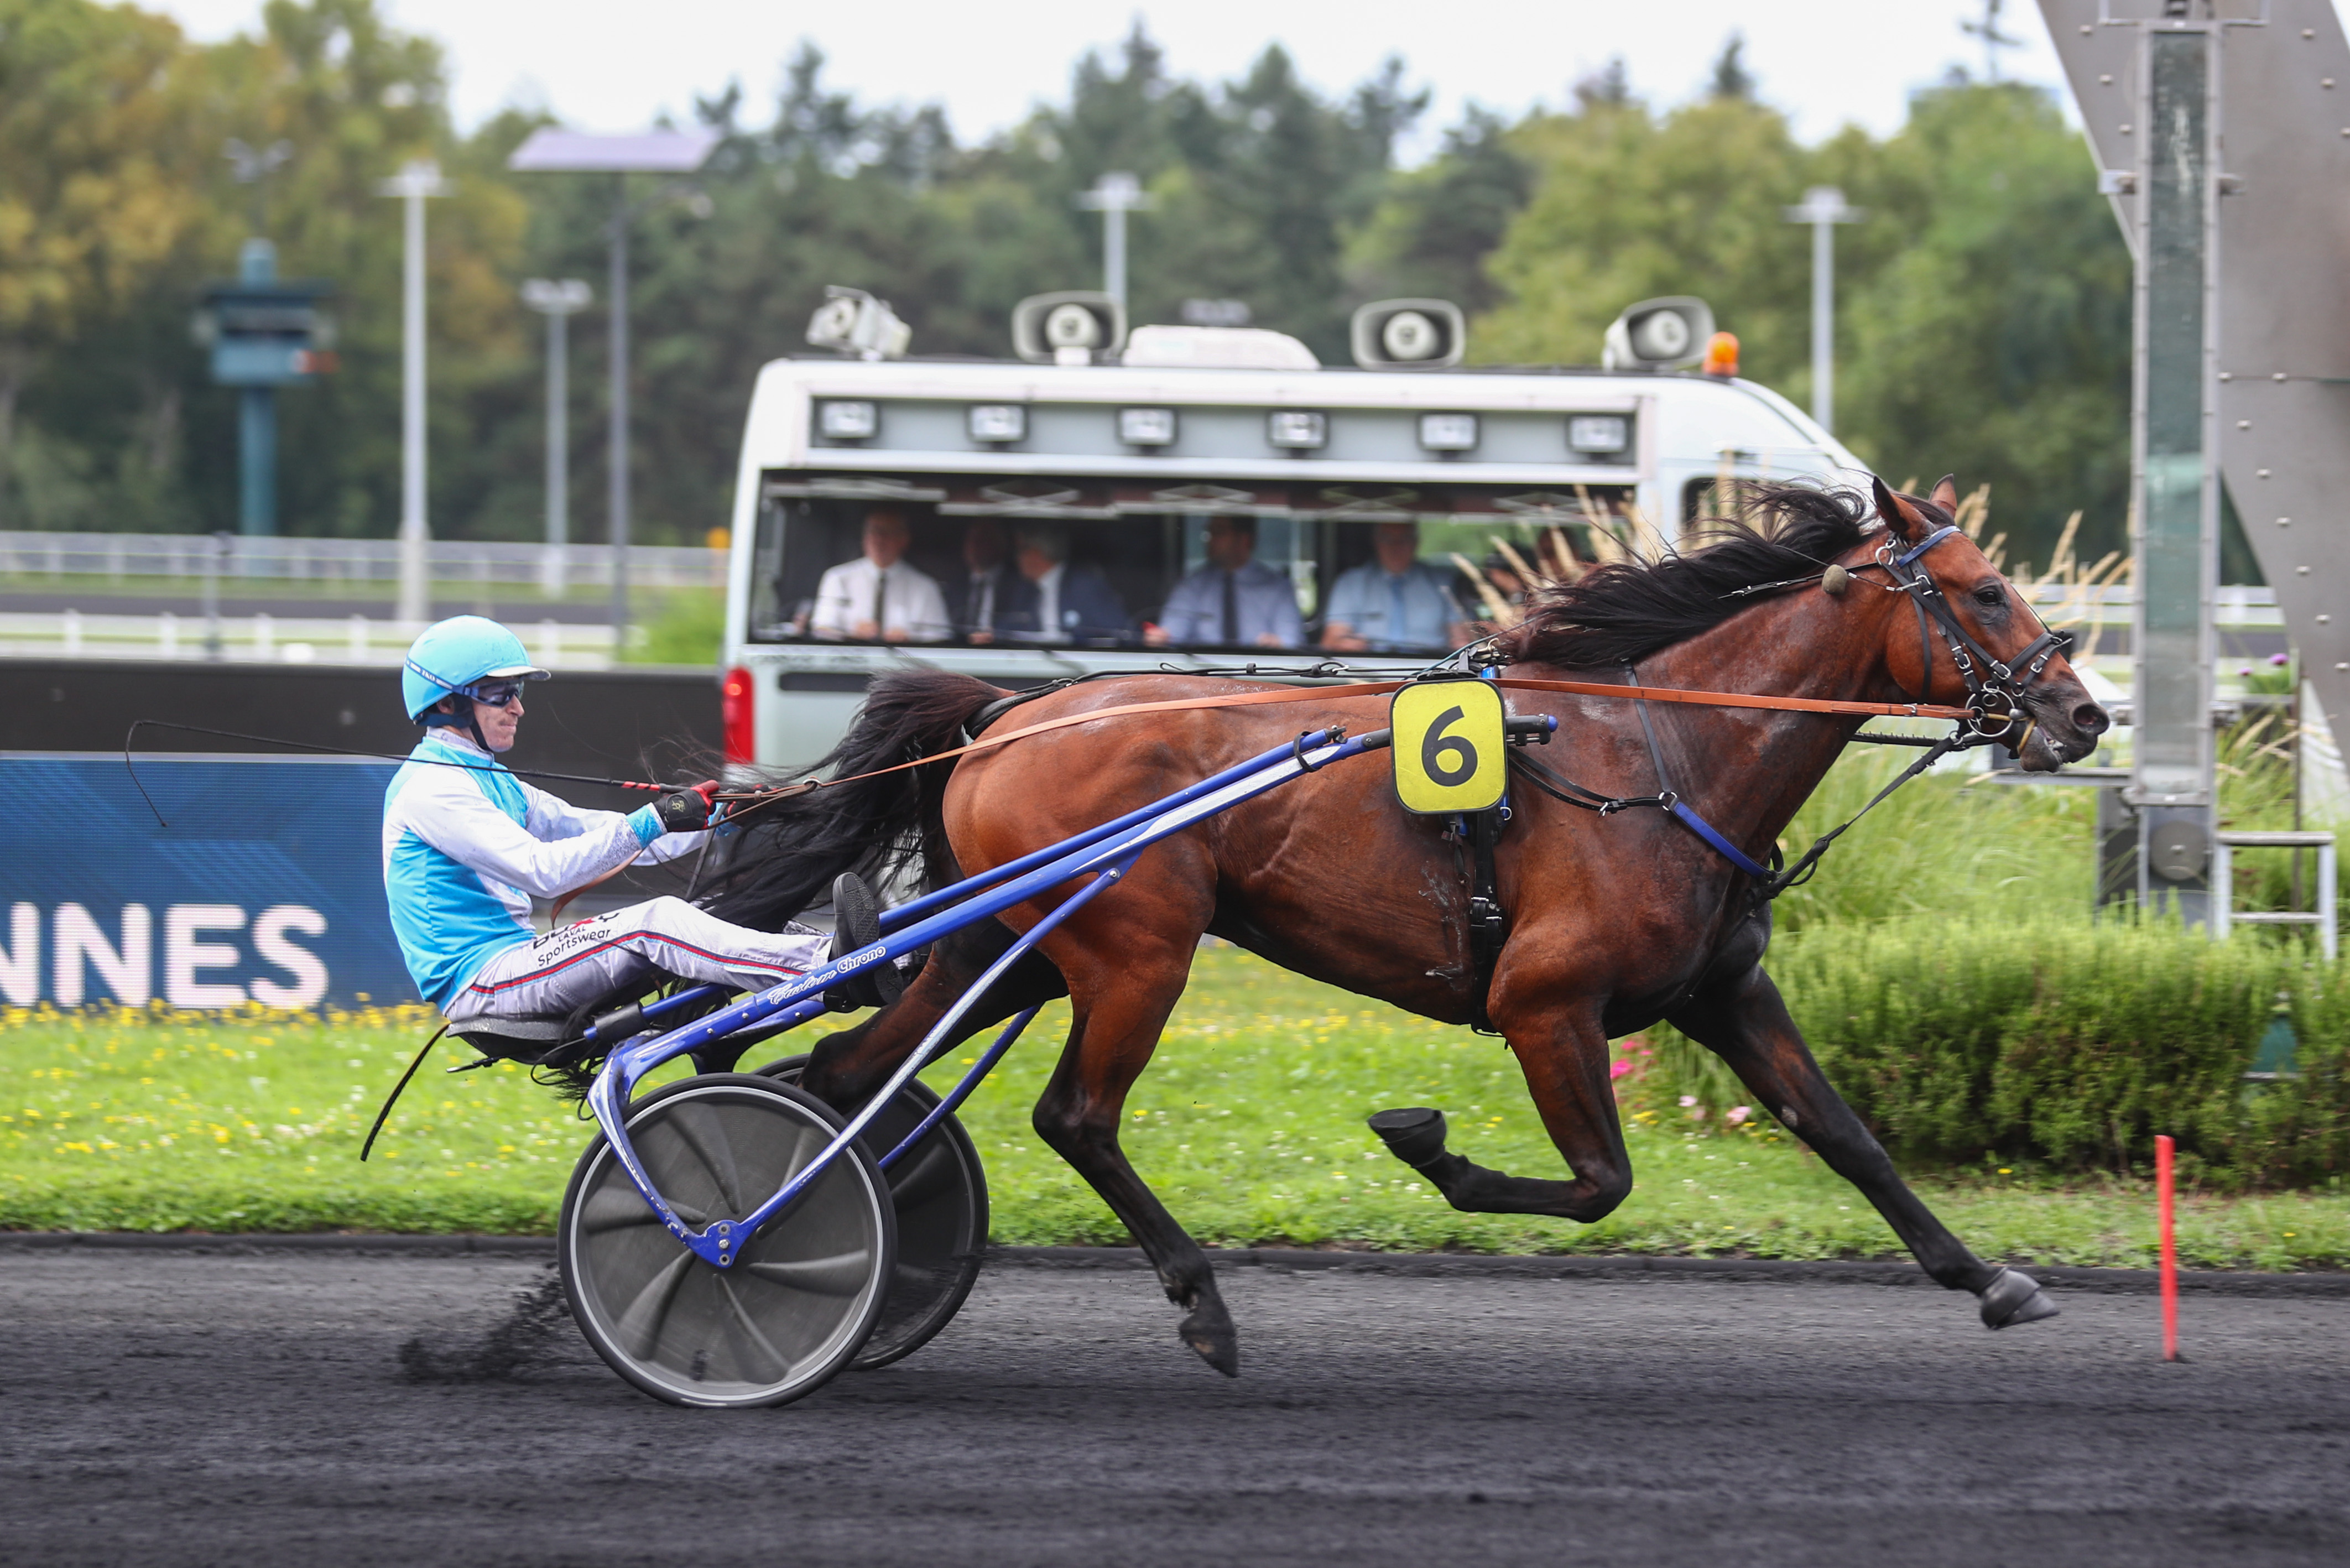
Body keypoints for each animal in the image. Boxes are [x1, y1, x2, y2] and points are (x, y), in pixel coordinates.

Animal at [710, 480, 2115, 1373]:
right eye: (1985, 590)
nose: (2085, 715)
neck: (1664, 754)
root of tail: (1007, 714)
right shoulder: (1546, 1005)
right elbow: (1601, 1182)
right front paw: (1424, 1140)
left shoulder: (1723, 995)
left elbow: (1849, 1138)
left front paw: (1990, 1279)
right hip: (1134, 950)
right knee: (1075, 1117)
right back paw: (1197, 1301)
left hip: (1010, 952)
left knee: (846, 1073)